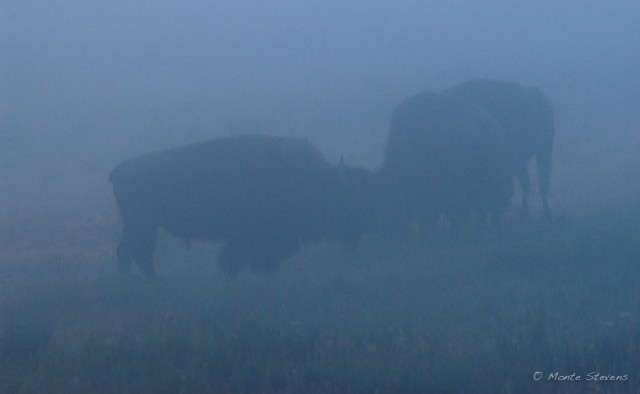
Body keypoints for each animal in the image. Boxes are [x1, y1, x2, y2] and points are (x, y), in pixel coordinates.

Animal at [107, 135, 372, 278]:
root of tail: (120, 169)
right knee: (134, 250)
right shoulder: (253, 237)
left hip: (143, 224)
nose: (360, 228)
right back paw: (148, 278)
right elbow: (238, 256)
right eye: (344, 199)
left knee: (132, 250)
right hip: (142, 223)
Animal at [444, 79, 556, 219]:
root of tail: (540, 99)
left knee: (542, 182)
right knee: (527, 184)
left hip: (544, 150)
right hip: (522, 160)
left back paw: (545, 212)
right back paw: (524, 213)